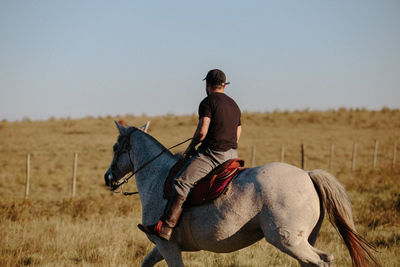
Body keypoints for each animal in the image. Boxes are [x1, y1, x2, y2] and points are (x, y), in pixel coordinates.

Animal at [105, 123, 378, 267]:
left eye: (116, 148)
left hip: (288, 240)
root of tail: (308, 174)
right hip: (302, 240)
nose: (108, 178)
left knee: (320, 261)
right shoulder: (161, 248)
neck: (158, 176)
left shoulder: (167, 245)